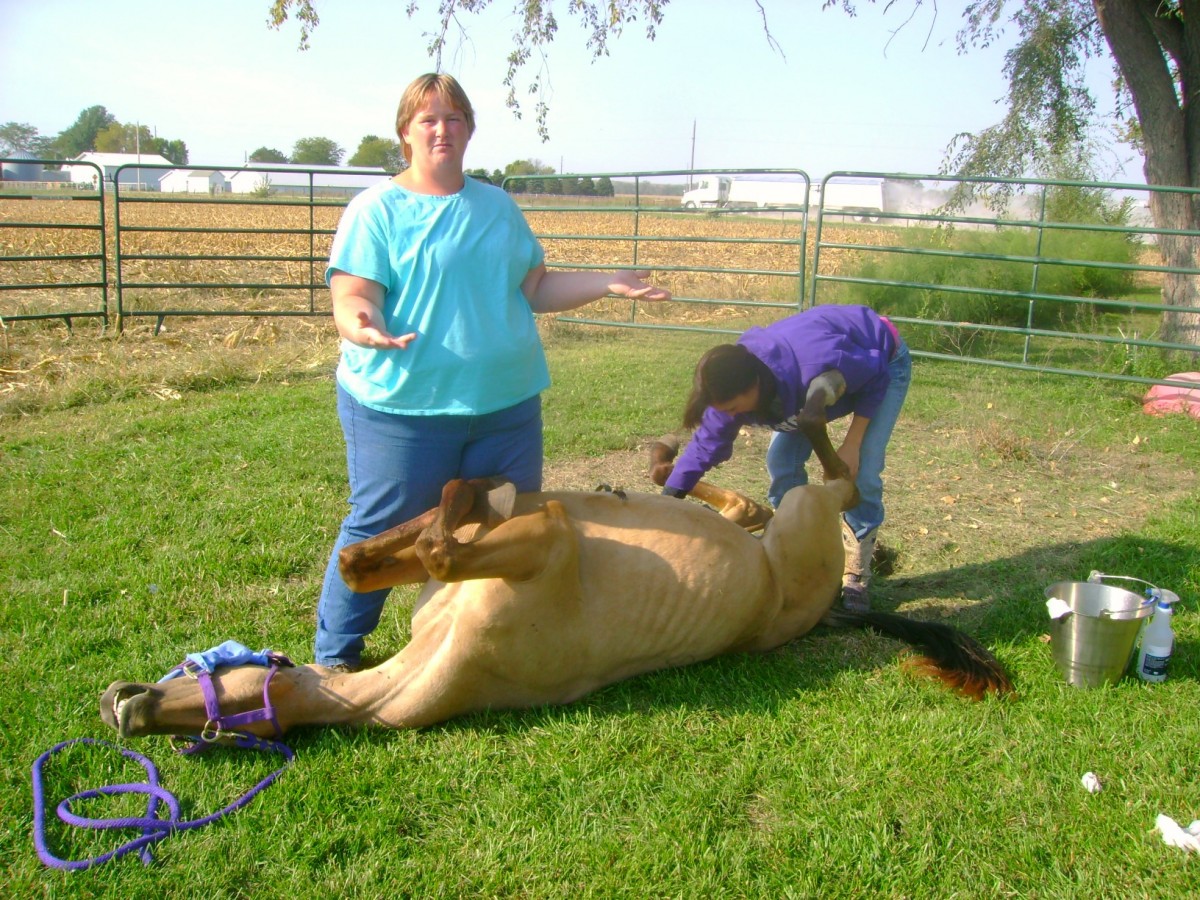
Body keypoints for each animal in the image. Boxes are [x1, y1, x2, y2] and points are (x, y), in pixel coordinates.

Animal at [100, 415, 1012, 739]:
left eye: (219, 697)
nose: (124, 704)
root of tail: (825, 615)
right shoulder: (521, 541)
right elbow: (390, 553)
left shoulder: (544, 540)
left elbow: (445, 532)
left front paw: (460, 503)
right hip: (784, 525)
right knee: (759, 500)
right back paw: (662, 472)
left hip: (804, 521)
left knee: (838, 482)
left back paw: (809, 418)